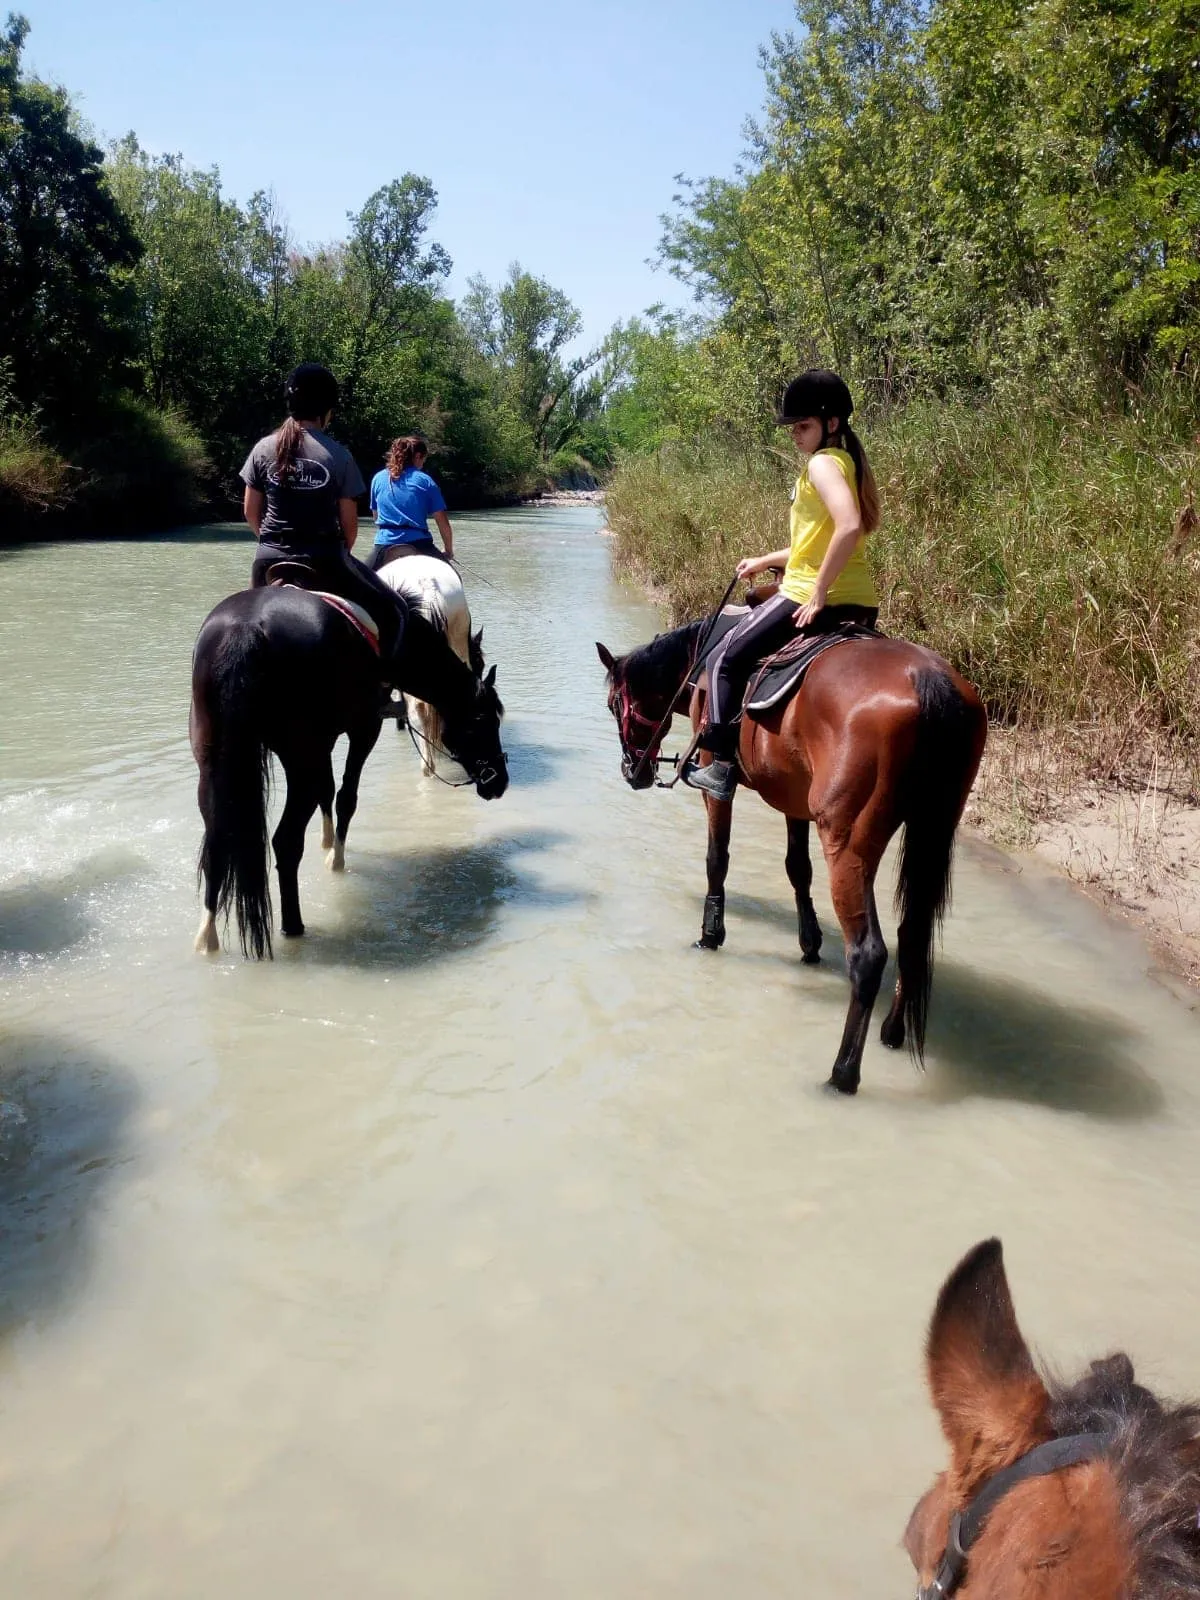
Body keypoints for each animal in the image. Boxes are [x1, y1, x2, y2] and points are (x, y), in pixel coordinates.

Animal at [190, 585, 507, 958]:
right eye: (485, 722)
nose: (499, 782)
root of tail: (246, 629)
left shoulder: (322, 745)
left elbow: (328, 790)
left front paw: (328, 842)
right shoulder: (364, 729)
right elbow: (345, 797)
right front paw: (336, 859)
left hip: (216, 763)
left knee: (218, 841)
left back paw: (207, 936)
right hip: (301, 758)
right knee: (286, 840)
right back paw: (293, 926)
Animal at [596, 613, 986, 1094]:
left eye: (613, 704)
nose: (632, 771)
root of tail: (929, 679)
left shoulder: (713, 776)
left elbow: (717, 859)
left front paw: (710, 933)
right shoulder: (793, 798)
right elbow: (797, 869)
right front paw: (809, 943)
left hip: (847, 841)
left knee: (869, 954)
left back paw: (842, 1074)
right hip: (933, 826)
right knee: (912, 934)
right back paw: (892, 1033)